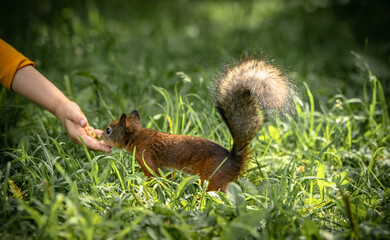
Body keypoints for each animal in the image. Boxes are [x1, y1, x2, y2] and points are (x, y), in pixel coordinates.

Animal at [100, 59, 296, 192]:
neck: (136, 135)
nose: (100, 135)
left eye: (109, 130)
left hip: (212, 176)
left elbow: (153, 176)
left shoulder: (145, 155)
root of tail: (235, 159)